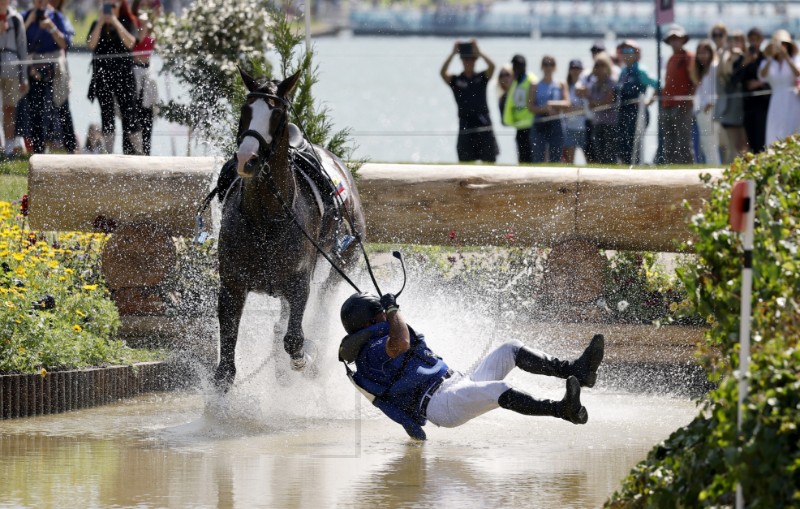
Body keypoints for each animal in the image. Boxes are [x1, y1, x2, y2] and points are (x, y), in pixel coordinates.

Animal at [216, 64, 368, 388]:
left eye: (277, 115)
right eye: (245, 110)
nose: (247, 159)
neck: (264, 220)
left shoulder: (299, 283)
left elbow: (295, 340)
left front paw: (305, 357)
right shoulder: (232, 285)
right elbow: (225, 368)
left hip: (345, 257)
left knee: (324, 301)